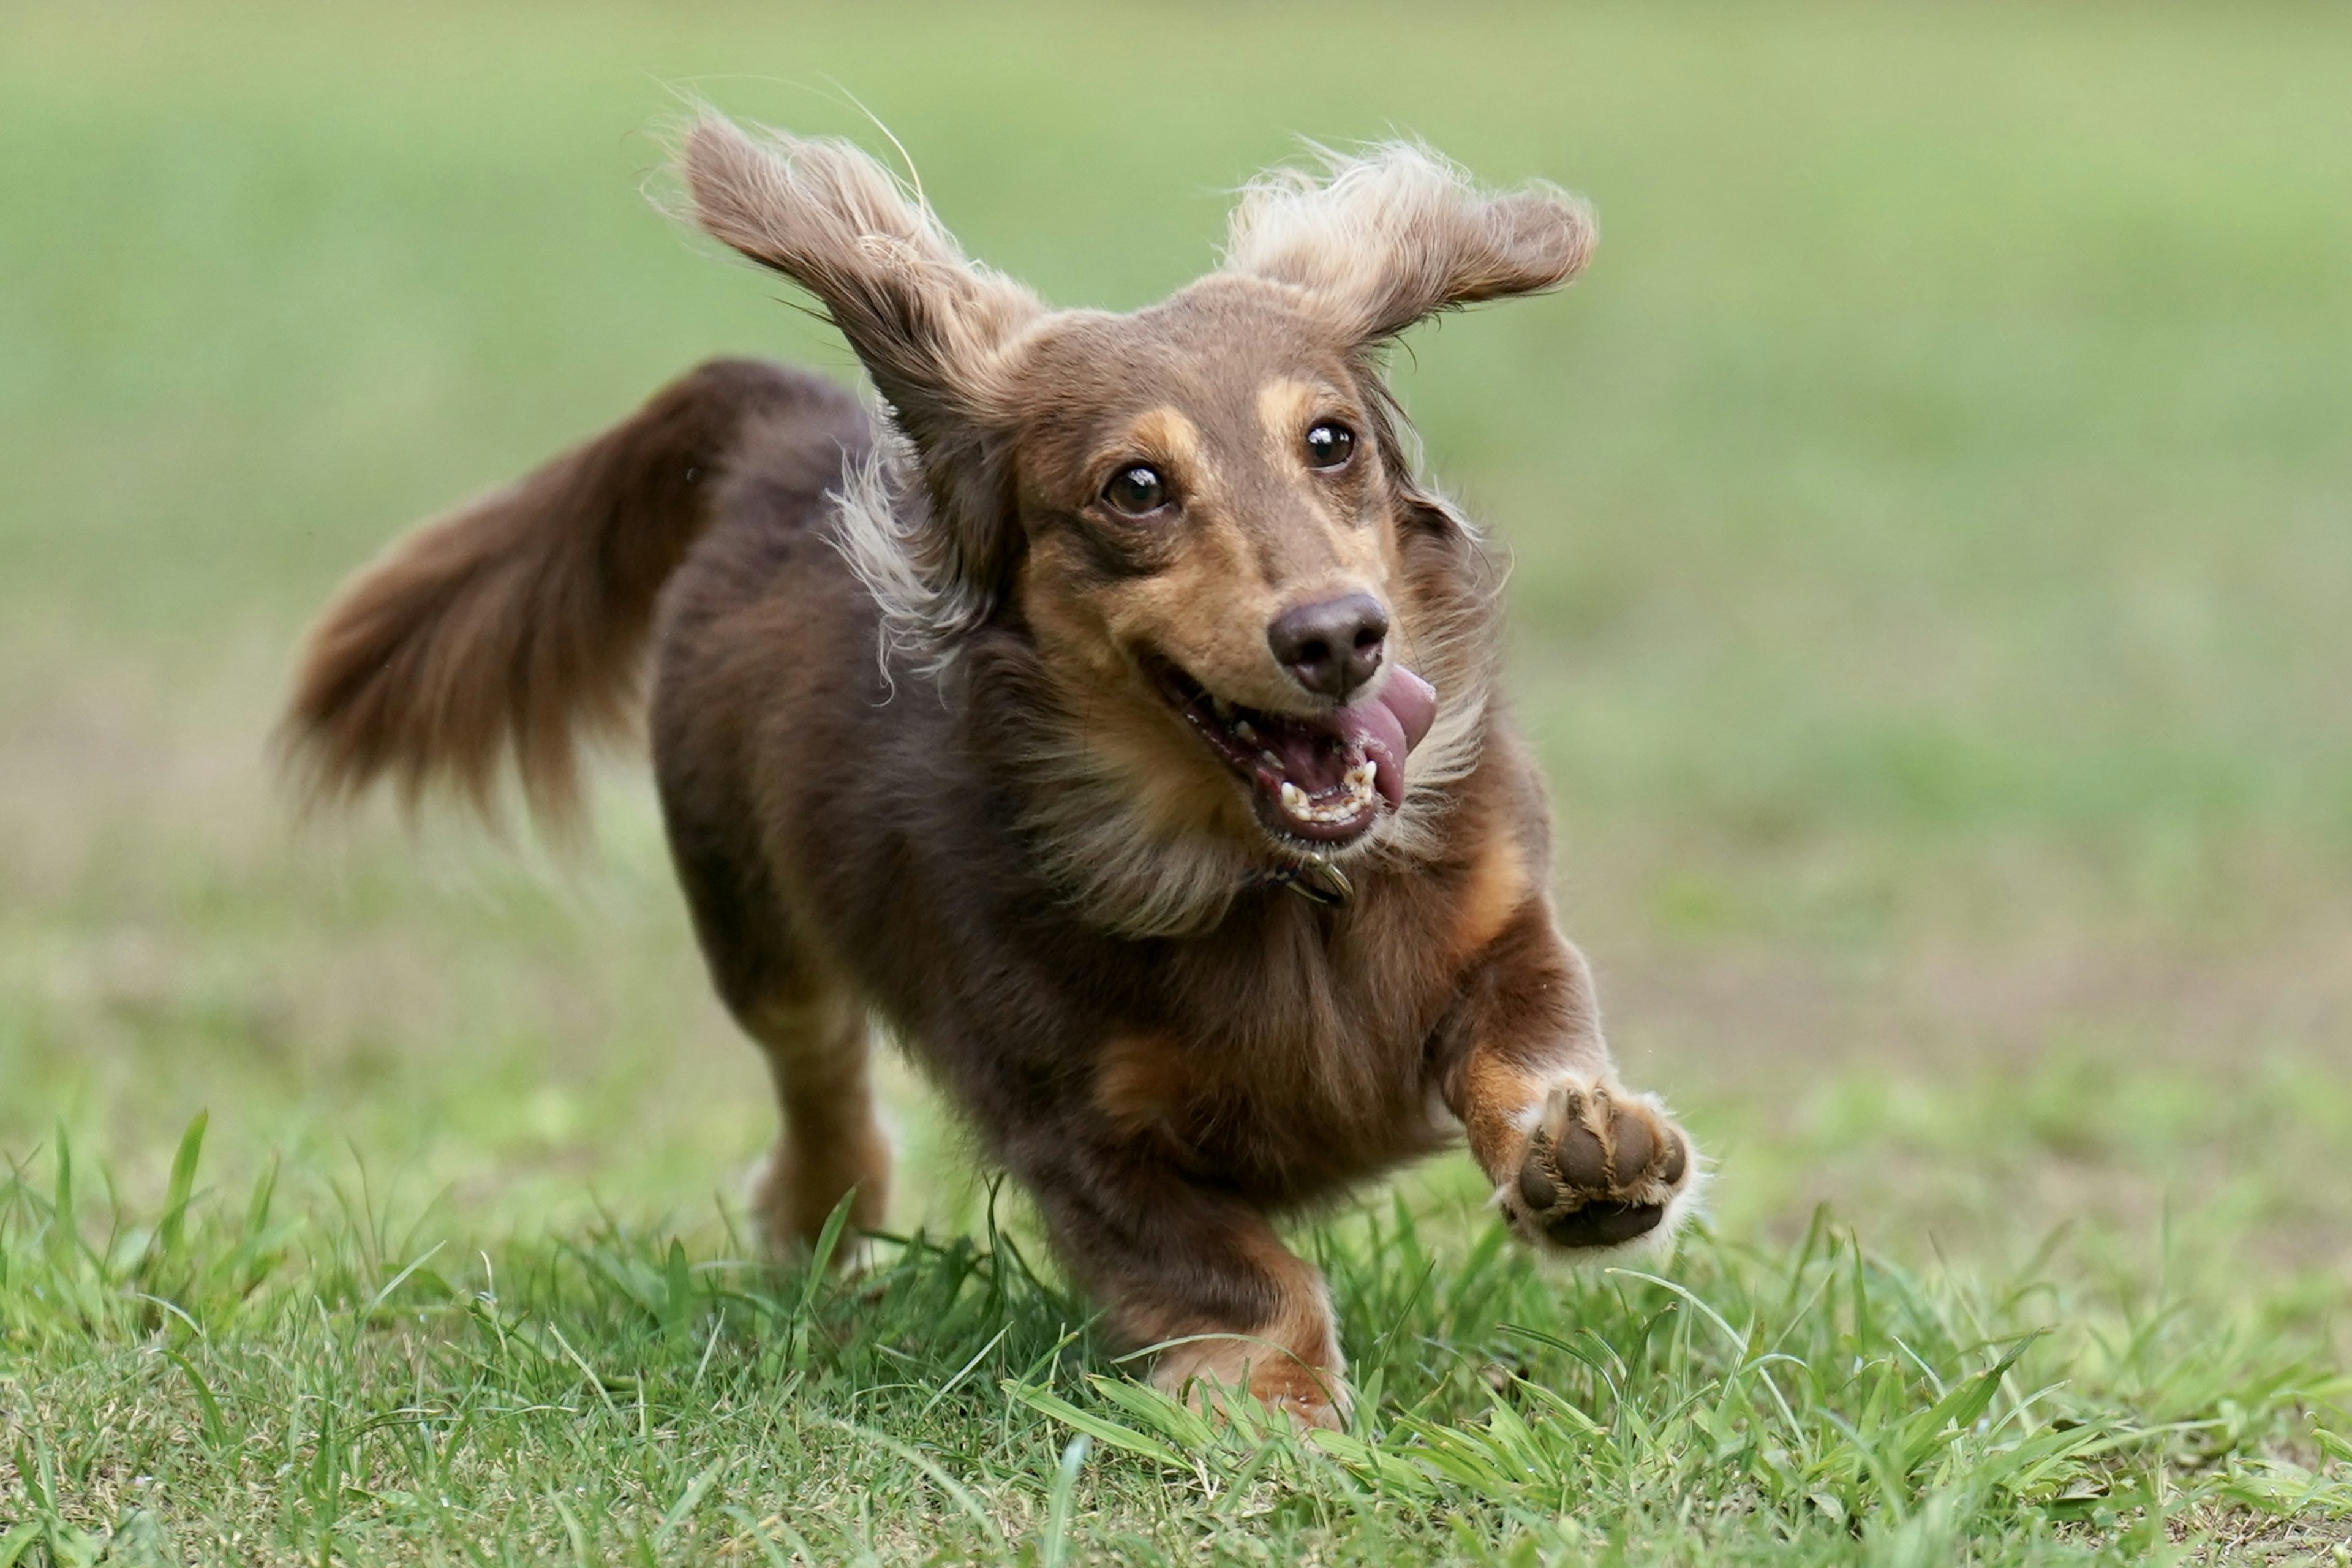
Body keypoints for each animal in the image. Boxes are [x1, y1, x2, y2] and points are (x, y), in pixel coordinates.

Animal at [284, 119, 1703, 1420]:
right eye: (1137, 486)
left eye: (1332, 441)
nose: (1341, 637)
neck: (1263, 879)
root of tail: (787, 429)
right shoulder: (1073, 1127)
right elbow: (1235, 1267)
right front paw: (1273, 1397)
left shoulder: (1504, 919)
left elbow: (1525, 1030)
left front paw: (1587, 1159)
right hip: (751, 918)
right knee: (819, 1074)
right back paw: (816, 1225)